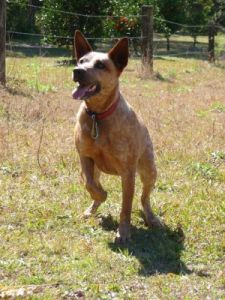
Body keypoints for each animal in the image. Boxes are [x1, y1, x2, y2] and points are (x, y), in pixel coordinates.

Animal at [72, 30, 162, 243]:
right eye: (81, 61)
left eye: (100, 65)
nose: (76, 70)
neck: (98, 116)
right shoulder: (85, 157)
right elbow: (90, 185)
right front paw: (101, 195)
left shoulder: (128, 172)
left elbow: (126, 207)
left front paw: (123, 232)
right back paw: (91, 209)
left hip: (149, 170)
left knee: (145, 198)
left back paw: (152, 218)